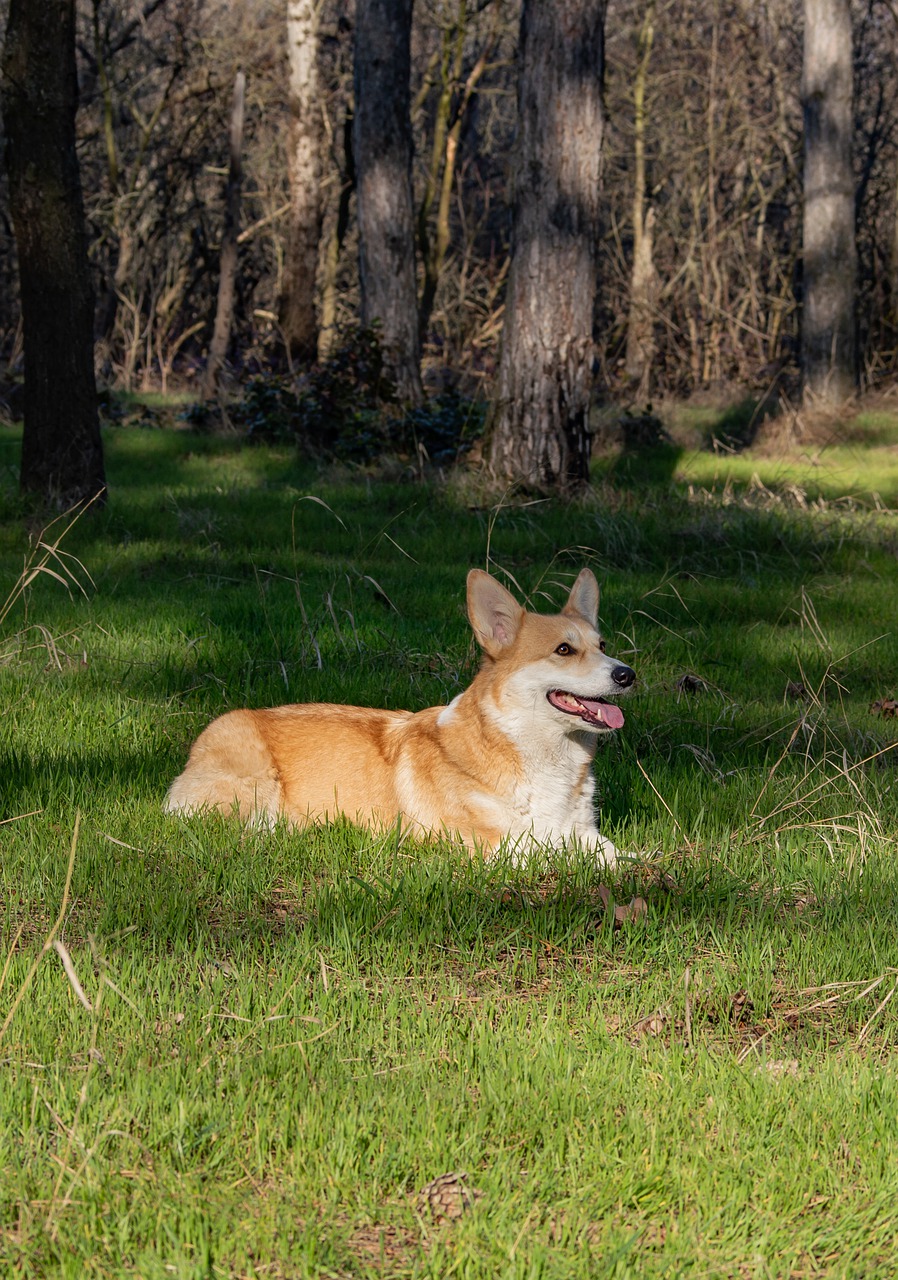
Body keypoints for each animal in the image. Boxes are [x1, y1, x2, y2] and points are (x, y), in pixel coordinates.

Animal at [165, 568, 637, 860]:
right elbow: (557, 856)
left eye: (603, 645)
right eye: (564, 650)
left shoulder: (585, 834)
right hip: (254, 786)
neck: (542, 755)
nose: (627, 675)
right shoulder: (497, 847)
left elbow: (621, 856)